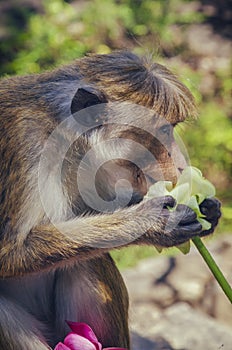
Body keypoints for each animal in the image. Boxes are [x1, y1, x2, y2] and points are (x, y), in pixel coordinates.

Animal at [0, 50, 221, 348]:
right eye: (164, 131)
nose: (179, 166)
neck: (64, 138)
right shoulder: (24, 144)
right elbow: (10, 254)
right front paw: (151, 223)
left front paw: (208, 208)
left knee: (89, 261)